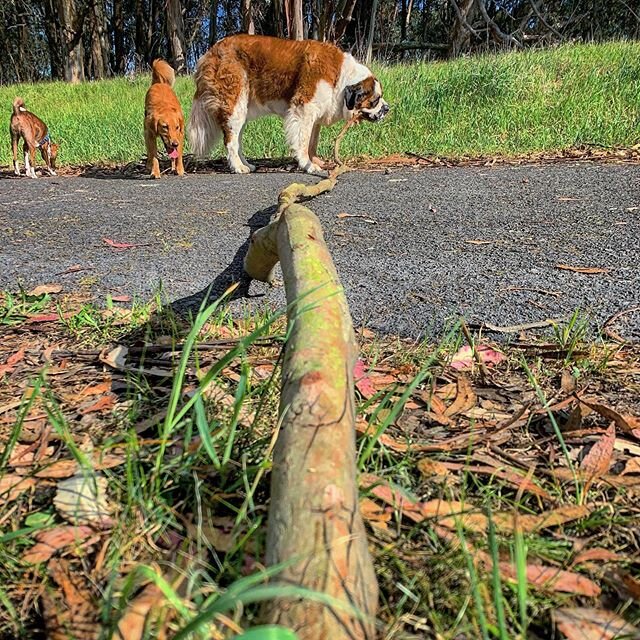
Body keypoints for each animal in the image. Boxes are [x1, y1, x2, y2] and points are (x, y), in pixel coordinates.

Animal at [188, 34, 388, 175]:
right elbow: (303, 141)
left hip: (241, 110)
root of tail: (211, 52)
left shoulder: (314, 114)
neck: (341, 78)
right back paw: (237, 167)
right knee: (230, 141)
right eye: (375, 100)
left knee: (236, 141)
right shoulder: (303, 109)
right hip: (234, 104)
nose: (387, 108)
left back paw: (246, 164)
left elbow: (312, 141)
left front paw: (314, 161)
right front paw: (308, 165)